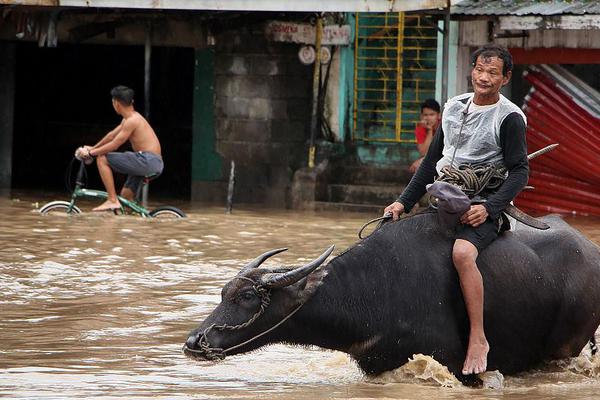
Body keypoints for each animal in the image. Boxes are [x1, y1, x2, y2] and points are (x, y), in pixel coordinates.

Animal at [182, 211, 600, 380]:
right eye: (224, 293)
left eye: (248, 298)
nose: (194, 341)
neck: (375, 290)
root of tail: (590, 250)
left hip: (565, 347)